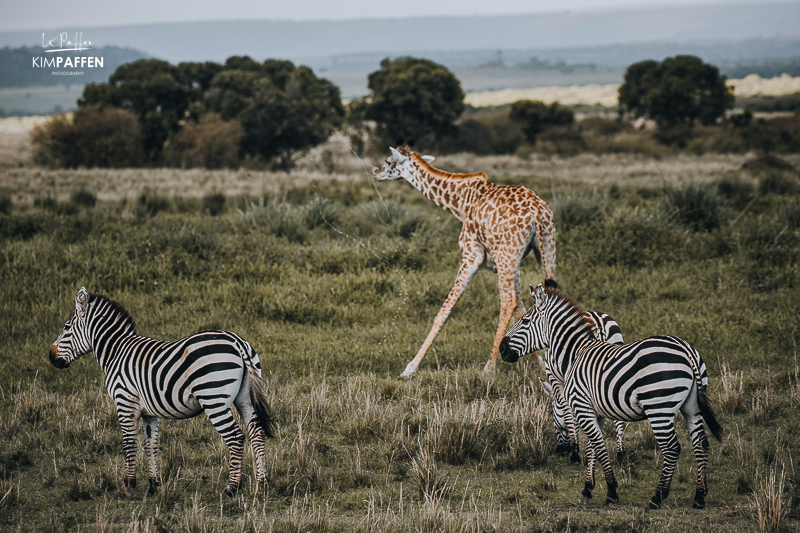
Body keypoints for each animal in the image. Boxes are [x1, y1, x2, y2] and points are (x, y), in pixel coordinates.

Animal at [49, 286, 278, 494]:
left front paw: (128, 485)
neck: (116, 351)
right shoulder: (149, 412)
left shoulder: (125, 401)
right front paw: (153, 484)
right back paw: (263, 483)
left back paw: (232, 488)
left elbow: (129, 443)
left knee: (236, 437)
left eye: (66, 327)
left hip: (214, 399)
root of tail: (237, 342)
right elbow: (150, 445)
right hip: (244, 397)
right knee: (256, 433)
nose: (50, 357)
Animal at [374, 143, 556, 376]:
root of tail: (538, 212)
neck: (460, 203)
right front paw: (538, 362)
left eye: (388, 161)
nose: (375, 171)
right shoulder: (511, 262)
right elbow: (523, 308)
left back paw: (488, 369)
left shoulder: (472, 255)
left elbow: (444, 311)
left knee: (507, 303)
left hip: (508, 254)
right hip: (544, 247)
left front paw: (410, 367)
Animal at [536, 310, 624, 464]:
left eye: (552, 413)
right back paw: (619, 453)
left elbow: (569, 415)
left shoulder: (557, 379)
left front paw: (575, 451)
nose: (560, 450)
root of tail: (597, 321)